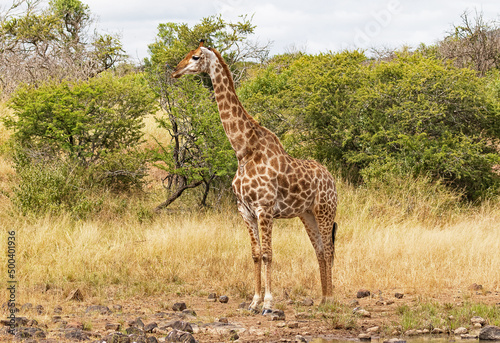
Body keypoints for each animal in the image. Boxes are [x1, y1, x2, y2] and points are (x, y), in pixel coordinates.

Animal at [172, 40, 340, 314]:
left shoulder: (264, 208)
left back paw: (330, 299)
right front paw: (254, 301)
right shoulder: (245, 210)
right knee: (318, 249)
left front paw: (269, 303)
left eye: (195, 57)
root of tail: (331, 179)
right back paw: (323, 298)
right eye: (186, 55)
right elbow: (255, 254)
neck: (243, 150)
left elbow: (268, 254)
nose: (175, 71)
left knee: (328, 250)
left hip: (325, 210)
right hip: (307, 214)